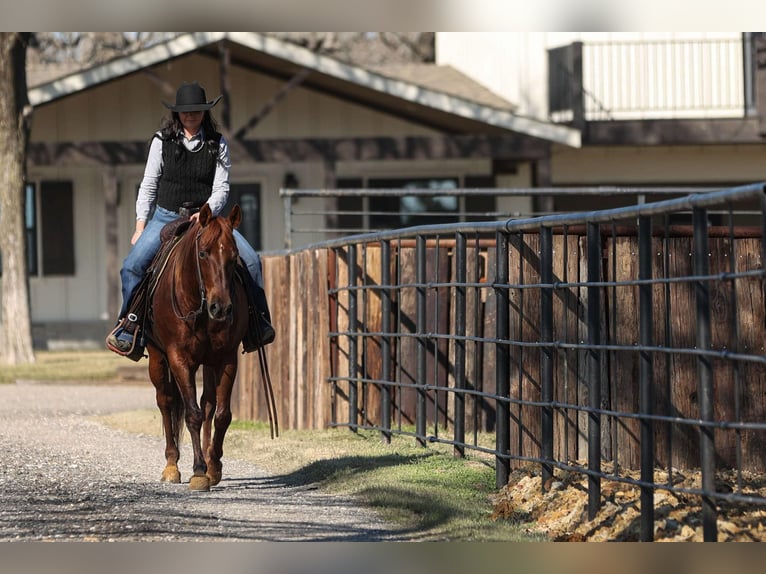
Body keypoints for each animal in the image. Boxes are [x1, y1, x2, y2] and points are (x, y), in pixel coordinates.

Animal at [146, 205, 274, 492]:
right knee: (166, 402)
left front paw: (213, 467)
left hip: (207, 363)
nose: (221, 308)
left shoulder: (226, 358)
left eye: (234, 256)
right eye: (203, 253)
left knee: (207, 404)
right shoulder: (178, 359)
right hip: (157, 358)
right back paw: (171, 466)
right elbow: (191, 413)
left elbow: (221, 414)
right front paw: (198, 471)